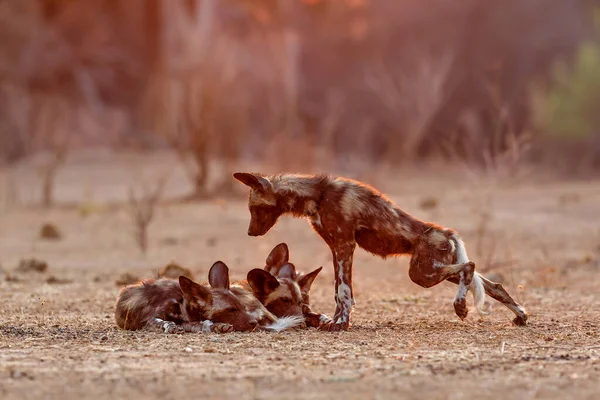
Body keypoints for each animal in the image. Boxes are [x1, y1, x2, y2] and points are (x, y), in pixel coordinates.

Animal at [115, 260, 304, 332]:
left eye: (241, 308)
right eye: (231, 310)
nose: (253, 323)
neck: (182, 304)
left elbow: (197, 323)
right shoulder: (152, 320)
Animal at [234, 172, 528, 332]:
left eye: (253, 209)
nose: (249, 232)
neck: (317, 194)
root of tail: (446, 231)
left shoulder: (344, 246)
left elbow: (344, 292)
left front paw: (340, 324)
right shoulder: (336, 247)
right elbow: (339, 292)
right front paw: (337, 321)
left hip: (421, 274)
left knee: (470, 266)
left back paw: (461, 308)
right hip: (433, 270)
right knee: (493, 285)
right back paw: (520, 316)